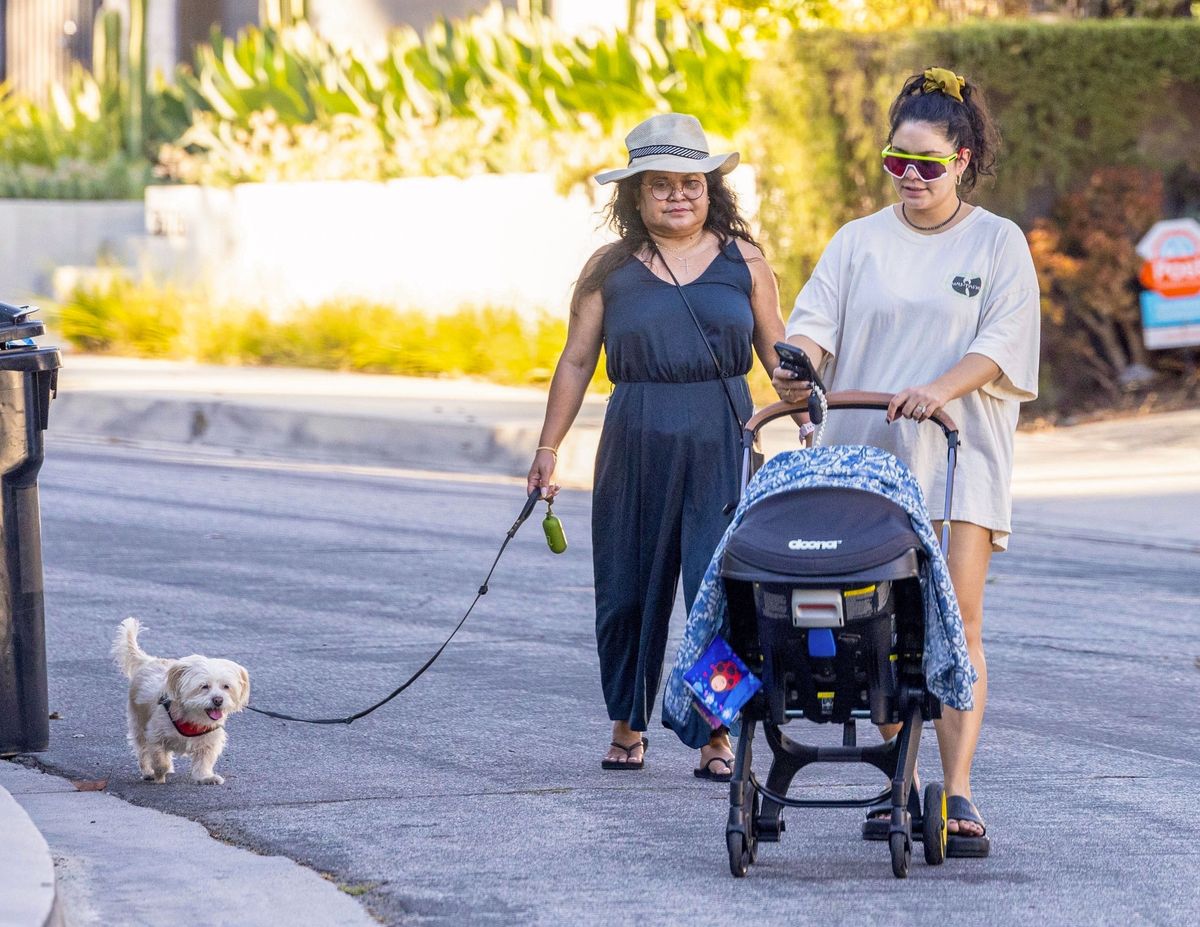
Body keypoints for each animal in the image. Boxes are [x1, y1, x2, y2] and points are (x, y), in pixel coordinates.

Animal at [112, 619, 248, 787]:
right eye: (204, 686)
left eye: (226, 686)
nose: (218, 700)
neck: (193, 718)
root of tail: (150, 661)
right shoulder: (155, 735)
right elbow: (159, 759)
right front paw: (159, 774)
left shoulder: (209, 740)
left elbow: (204, 761)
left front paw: (206, 777)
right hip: (138, 722)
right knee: (143, 750)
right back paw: (148, 771)